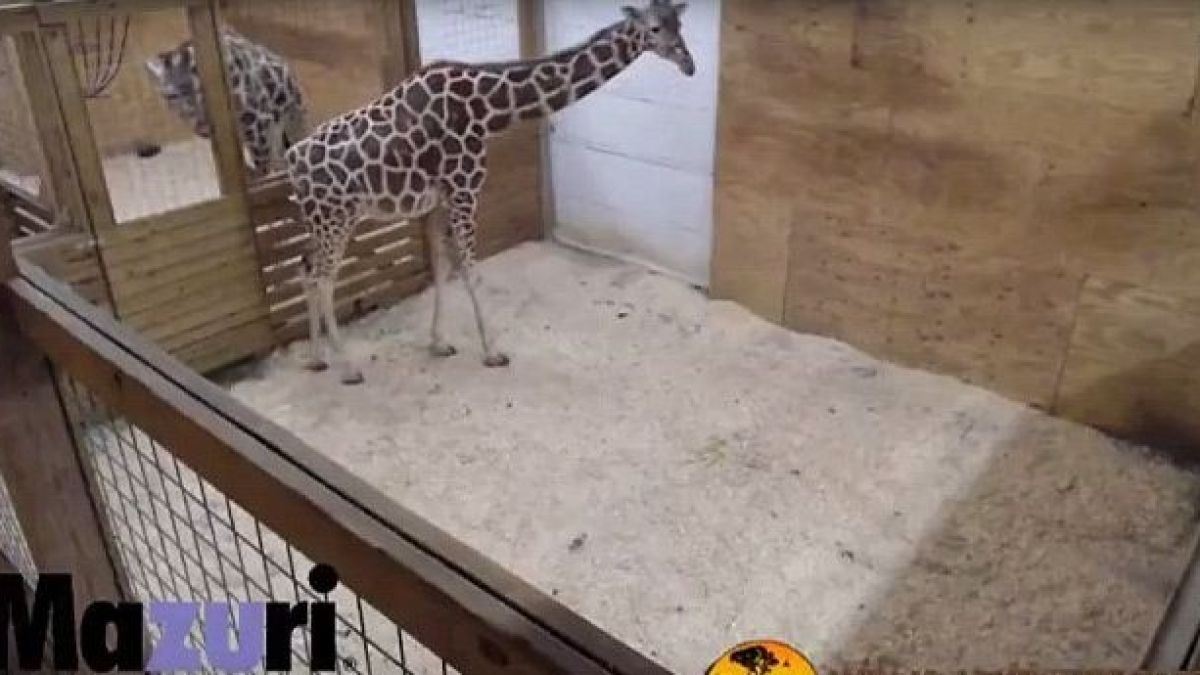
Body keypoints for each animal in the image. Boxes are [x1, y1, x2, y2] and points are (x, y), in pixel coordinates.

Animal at [288, 0, 694, 384]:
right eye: (654, 28)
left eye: (679, 24)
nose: (689, 64)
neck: (488, 108)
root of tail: (291, 162)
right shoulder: (465, 189)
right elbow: (470, 270)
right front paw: (494, 351)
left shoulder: (441, 198)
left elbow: (442, 265)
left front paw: (439, 343)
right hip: (337, 217)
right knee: (323, 279)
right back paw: (348, 368)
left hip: (320, 221)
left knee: (305, 268)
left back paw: (316, 358)